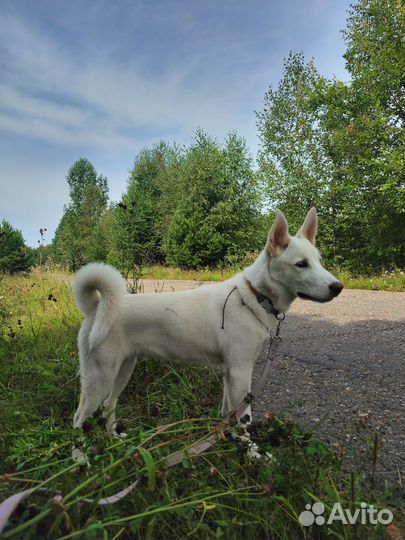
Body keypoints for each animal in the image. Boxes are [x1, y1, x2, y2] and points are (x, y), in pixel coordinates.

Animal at [72, 209, 340, 436]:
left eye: (319, 261)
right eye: (301, 264)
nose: (337, 287)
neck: (254, 296)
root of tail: (96, 307)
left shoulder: (230, 373)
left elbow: (229, 414)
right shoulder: (240, 372)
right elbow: (245, 421)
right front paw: (252, 453)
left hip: (123, 370)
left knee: (108, 405)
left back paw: (113, 441)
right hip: (99, 378)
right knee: (78, 418)